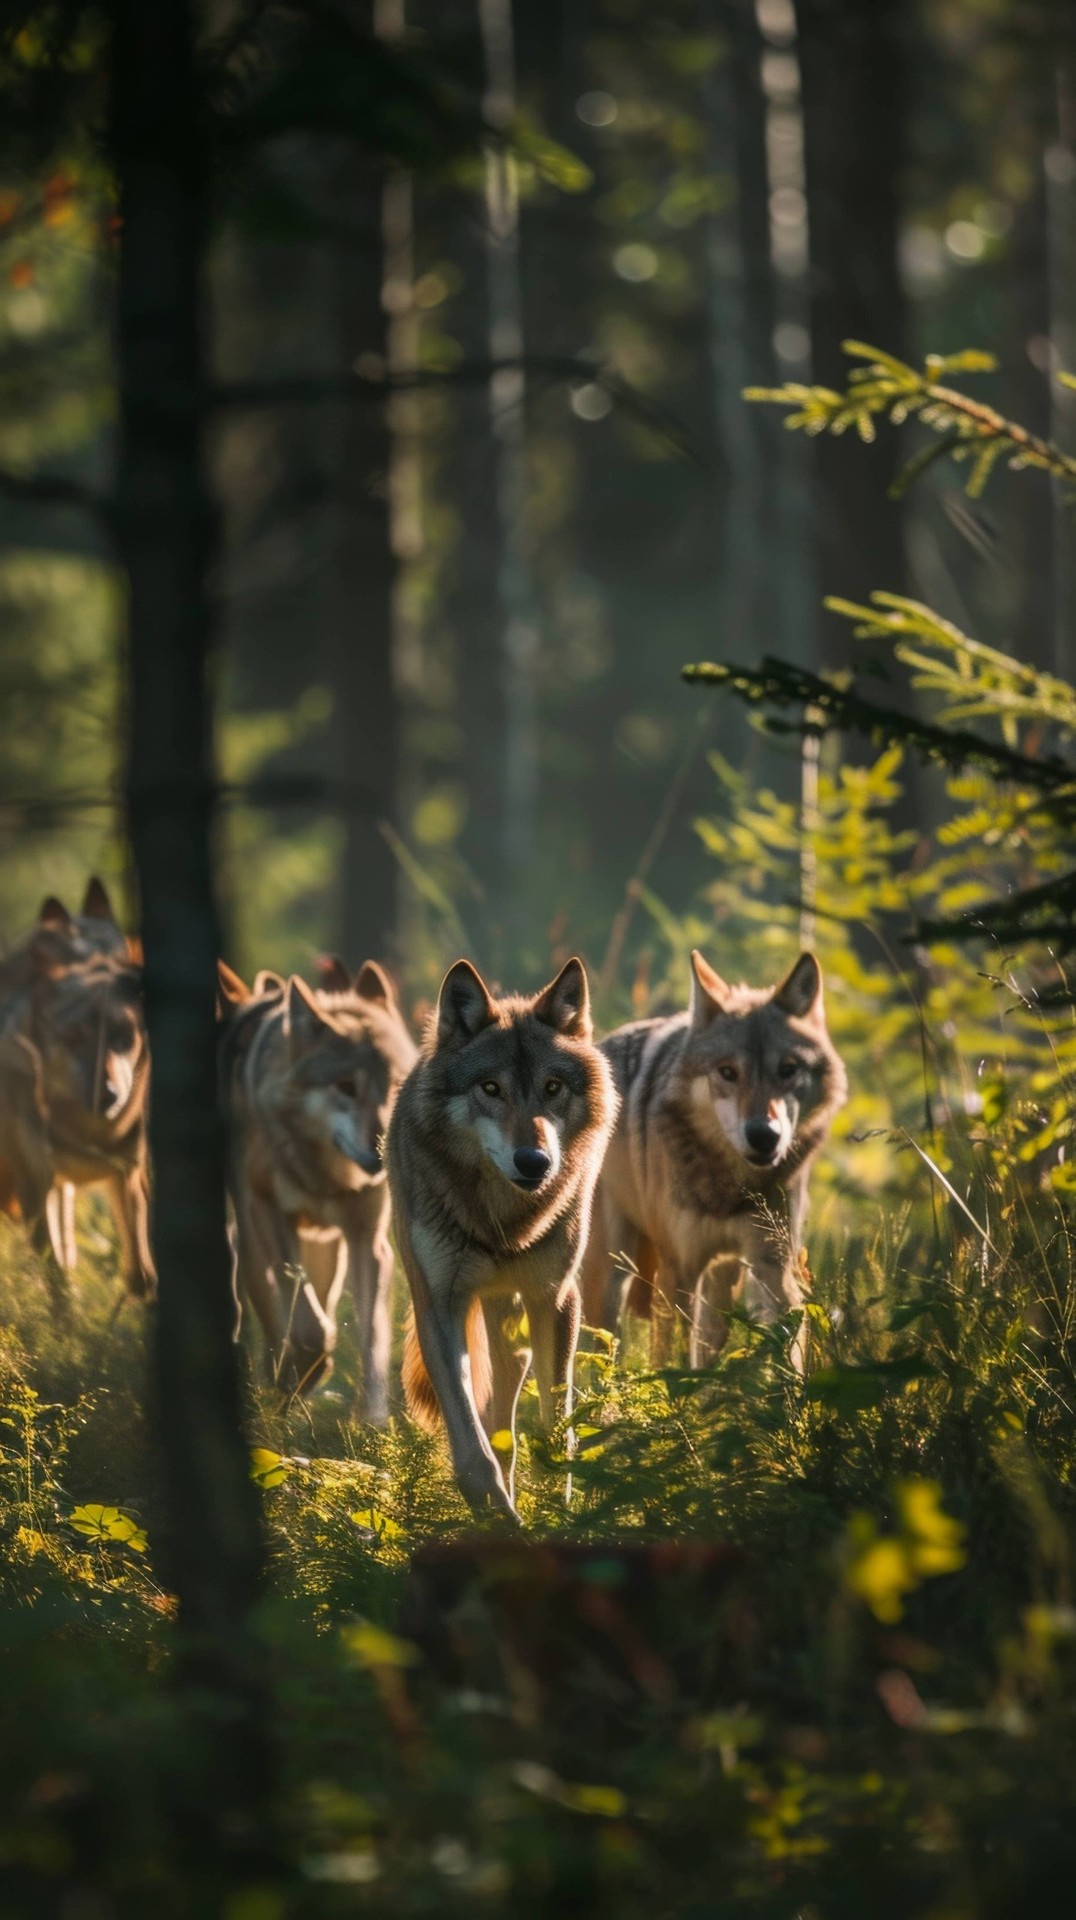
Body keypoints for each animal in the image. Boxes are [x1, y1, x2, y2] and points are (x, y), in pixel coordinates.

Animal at [222, 959, 416, 1418]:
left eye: (395, 1085)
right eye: (345, 1086)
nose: (384, 1150)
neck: (326, 1177)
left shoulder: (369, 1242)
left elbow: (371, 1337)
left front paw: (372, 1422)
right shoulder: (270, 1217)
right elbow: (309, 1329)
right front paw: (298, 1375)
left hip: (328, 1248)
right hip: (252, 1238)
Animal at [389, 956, 618, 1520]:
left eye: (553, 1087)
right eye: (490, 1088)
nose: (534, 1162)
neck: (504, 1221)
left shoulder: (555, 1298)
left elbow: (557, 1432)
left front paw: (557, 1515)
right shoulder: (439, 1304)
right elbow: (473, 1449)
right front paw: (500, 1517)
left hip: (514, 1329)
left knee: (504, 1421)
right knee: (494, 1425)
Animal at [579, 950, 847, 1371]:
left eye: (787, 1070)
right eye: (727, 1072)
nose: (764, 1134)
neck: (728, 1186)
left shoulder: (773, 1265)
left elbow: (787, 1353)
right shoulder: (679, 1270)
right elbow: (671, 1364)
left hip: (722, 1278)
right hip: (610, 1273)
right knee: (597, 1352)